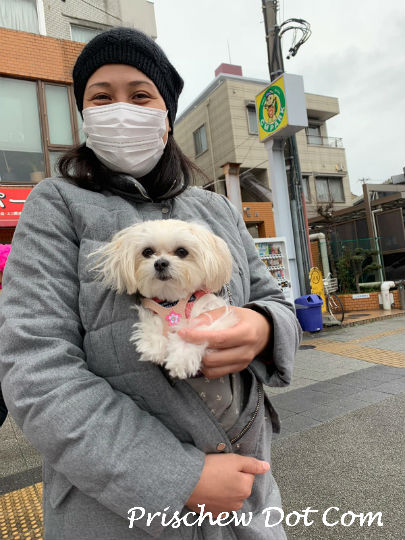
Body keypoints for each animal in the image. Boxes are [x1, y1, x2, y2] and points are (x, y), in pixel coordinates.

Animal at [90, 219, 238, 379]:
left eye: (182, 251)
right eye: (147, 251)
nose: (160, 263)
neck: (171, 300)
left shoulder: (213, 312)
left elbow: (195, 328)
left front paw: (181, 357)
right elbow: (153, 322)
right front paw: (155, 345)